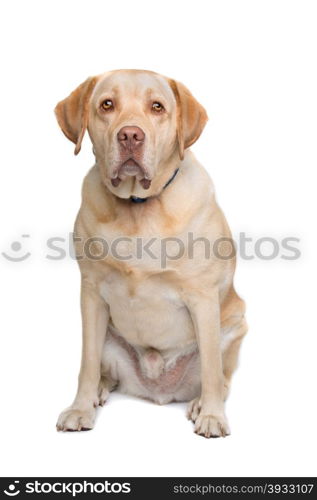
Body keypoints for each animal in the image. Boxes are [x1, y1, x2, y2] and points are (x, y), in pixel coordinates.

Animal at [55, 69, 247, 438]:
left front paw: (212, 415)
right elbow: (86, 363)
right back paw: (99, 390)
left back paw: (200, 403)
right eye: (107, 104)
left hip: (234, 325)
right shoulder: (91, 293)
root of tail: (157, 388)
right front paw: (80, 408)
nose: (131, 135)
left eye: (157, 106)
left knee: (220, 377)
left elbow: (212, 370)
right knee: (102, 369)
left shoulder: (203, 298)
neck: (137, 206)